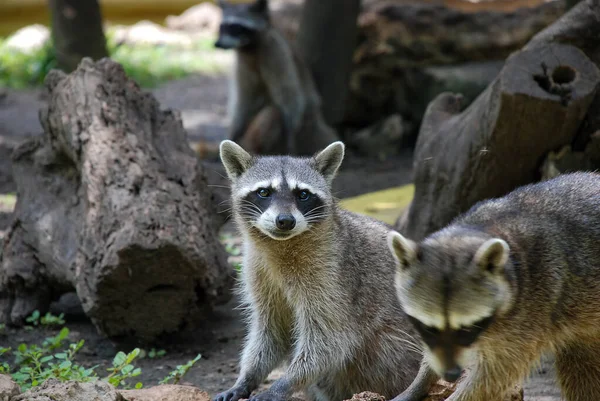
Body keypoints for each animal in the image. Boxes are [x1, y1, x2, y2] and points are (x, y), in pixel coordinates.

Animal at [213, 140, 424, 400]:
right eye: (264, 192)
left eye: (303, 194)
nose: (285, 221)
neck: (281, 245)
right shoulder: (257, 270)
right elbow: (270, 331)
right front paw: (247, 377)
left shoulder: (334, 275)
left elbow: (331, 339)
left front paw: (284, 383)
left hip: (394, 345)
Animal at [214, 0, 338, 155]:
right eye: (222, 26)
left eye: (235, 27)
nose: (217, 43)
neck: (249, 48)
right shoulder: (242, 63)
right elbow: (244, 99)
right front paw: (236, 129)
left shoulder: (276, 53)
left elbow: (289, 94)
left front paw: (290, 131)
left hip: (307, 127)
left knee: (274, 113)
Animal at [386, 171, 596, 400]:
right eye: (428, 328)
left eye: (467, 328)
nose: (451, 374)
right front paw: (421, 379)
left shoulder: (535, 306)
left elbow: (495, 375)